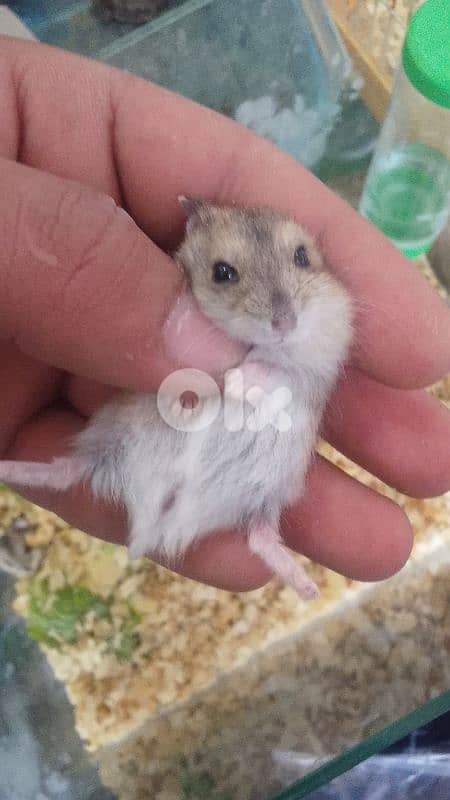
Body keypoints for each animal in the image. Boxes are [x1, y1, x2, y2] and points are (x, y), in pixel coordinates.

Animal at [0, 199, 352, 600]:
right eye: (222, 273)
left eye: (302, 256)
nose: (285, 323)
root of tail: (160, 524)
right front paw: (223, 383)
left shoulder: (320, 362)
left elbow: (283, 373)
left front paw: (237, 380)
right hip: (112, 434)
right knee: (63, 472)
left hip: (270, 492)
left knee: (259, 538)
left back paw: (309, 590)